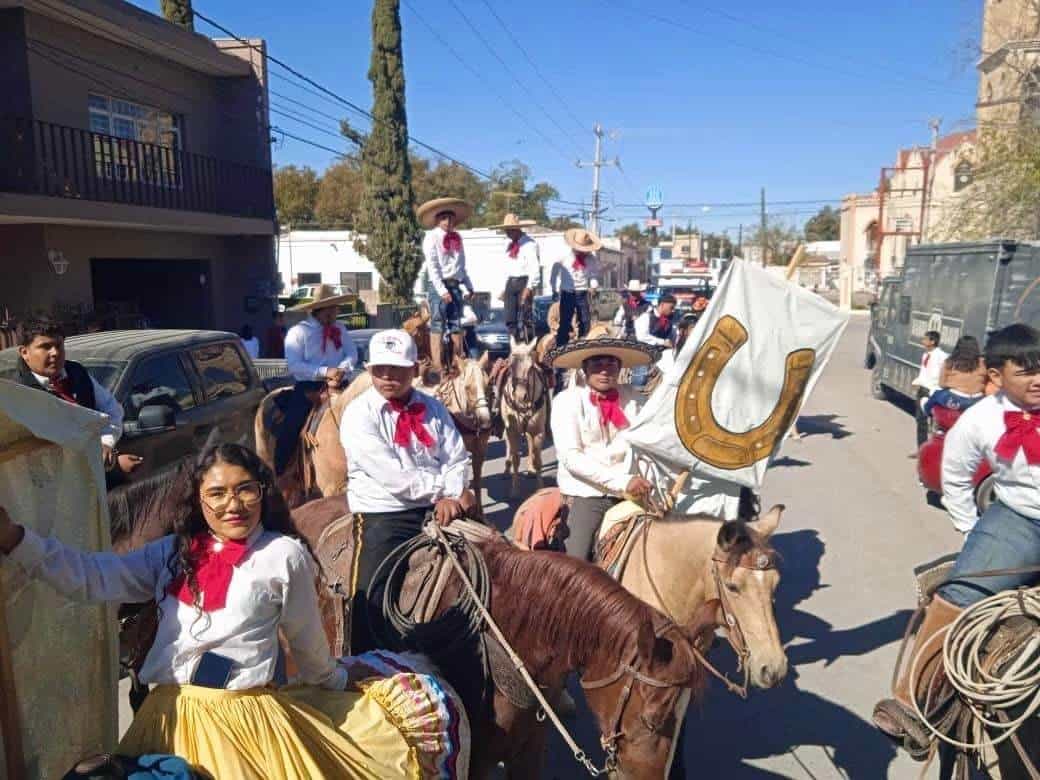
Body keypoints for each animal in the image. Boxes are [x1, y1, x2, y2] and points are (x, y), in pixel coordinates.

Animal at [497, 339, 549, 497]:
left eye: (531, 367)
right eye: (510, 366)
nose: (520, 395)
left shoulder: (538, 431)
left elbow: (538, 459)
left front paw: (540, 489)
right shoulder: (512, 430)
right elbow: (515, 458)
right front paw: (514, 490)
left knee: (531, 445)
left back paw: (531, 470)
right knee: (509, 446)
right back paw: (506, 469)